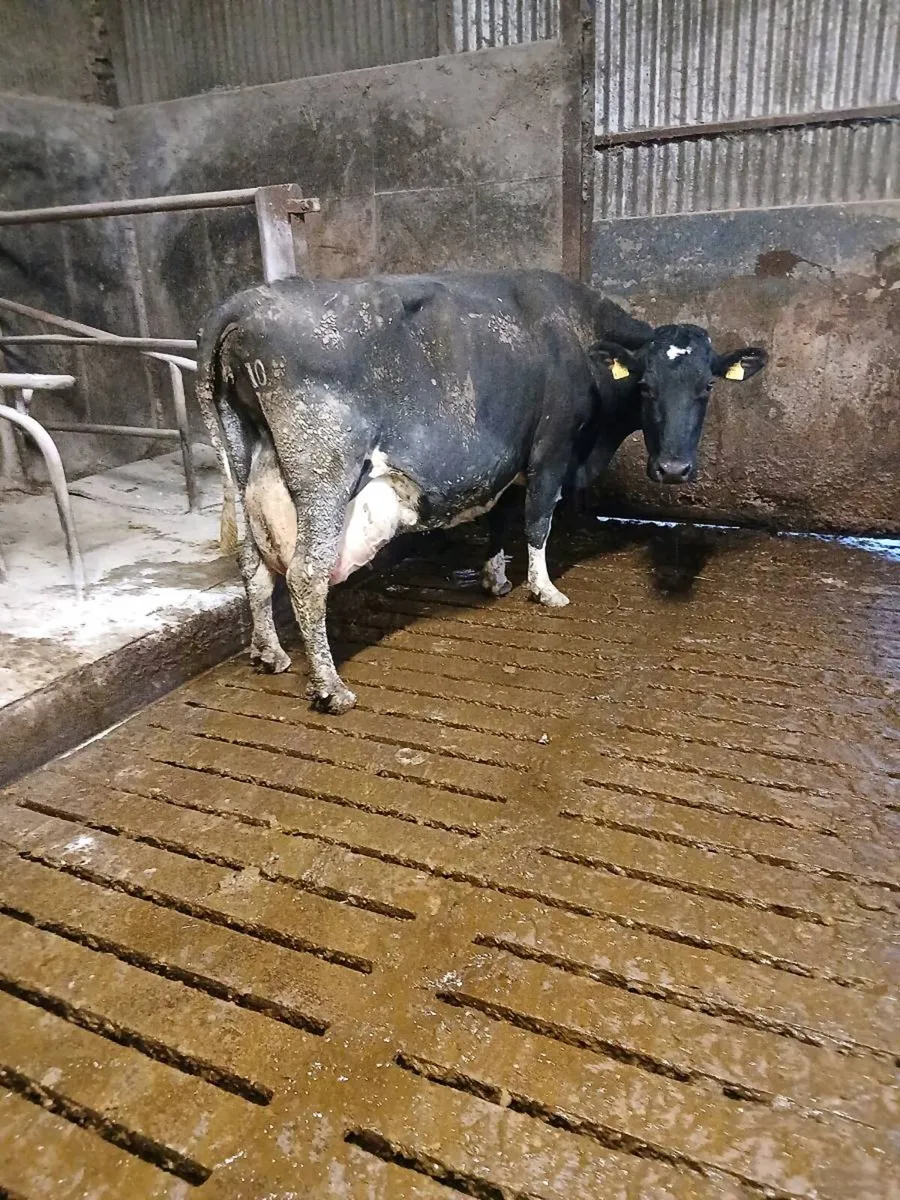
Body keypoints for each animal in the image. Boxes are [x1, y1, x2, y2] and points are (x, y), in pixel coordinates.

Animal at [196, 268, 766, 713]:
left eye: (707, 387)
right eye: (645, 386)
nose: (673, 469)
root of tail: (243, 303)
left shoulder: (508, 457)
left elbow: (500, 514)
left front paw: (496, 578)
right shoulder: (552, 446)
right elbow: (537, 517)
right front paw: (545, 589)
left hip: (242, 464)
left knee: (251, 562)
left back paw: (269, 653)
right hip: (324, 472)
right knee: (306, 575)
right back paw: (331, 689)